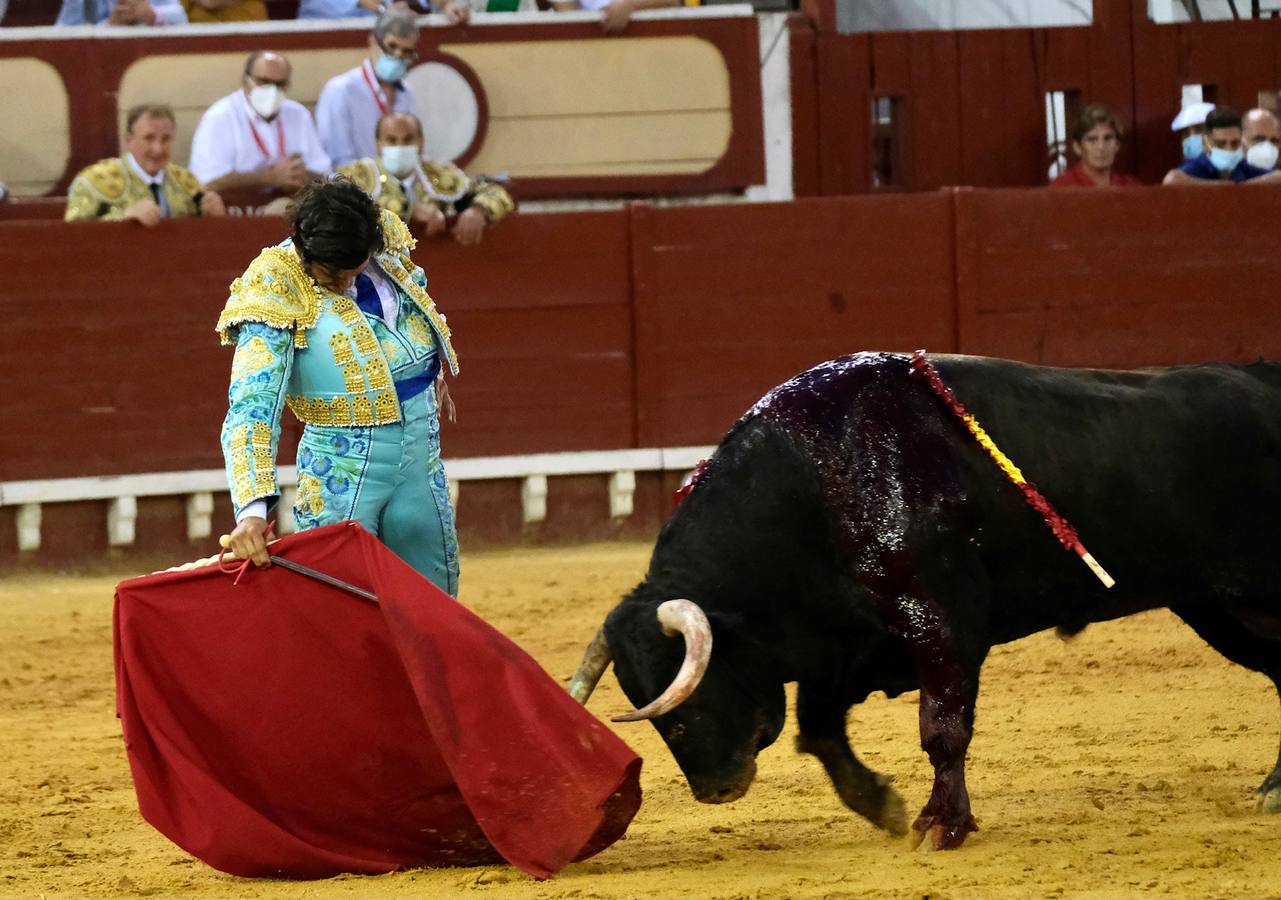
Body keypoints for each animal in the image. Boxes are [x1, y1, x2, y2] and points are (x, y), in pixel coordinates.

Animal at [568, 353, 1281, 850]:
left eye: (687, 690)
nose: (715, 789)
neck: (813, 487)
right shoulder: (850, 644)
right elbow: (818, 729)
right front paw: (880, 805)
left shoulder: (938, 624)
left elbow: (942, 729)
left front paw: (942, 826)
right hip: (1220, 608)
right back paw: (1274, 790)